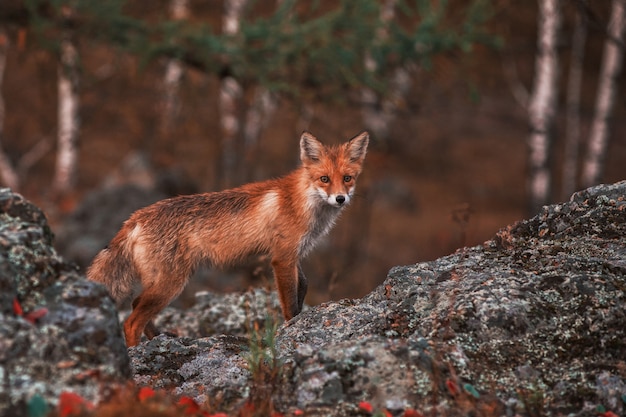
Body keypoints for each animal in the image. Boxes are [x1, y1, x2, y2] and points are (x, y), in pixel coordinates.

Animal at [88, 132, 370, 346]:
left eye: (347, 178)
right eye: (324, 179)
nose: (340, 199)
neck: (303, 201)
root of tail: (136, 217)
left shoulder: (294, 255)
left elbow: (304, 287)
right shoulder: (282, 258)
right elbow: (290, 303)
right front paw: (292, 328)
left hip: (159, 282)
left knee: (136, 305)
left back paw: (159, 339)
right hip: (171, 284)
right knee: (131, 321)